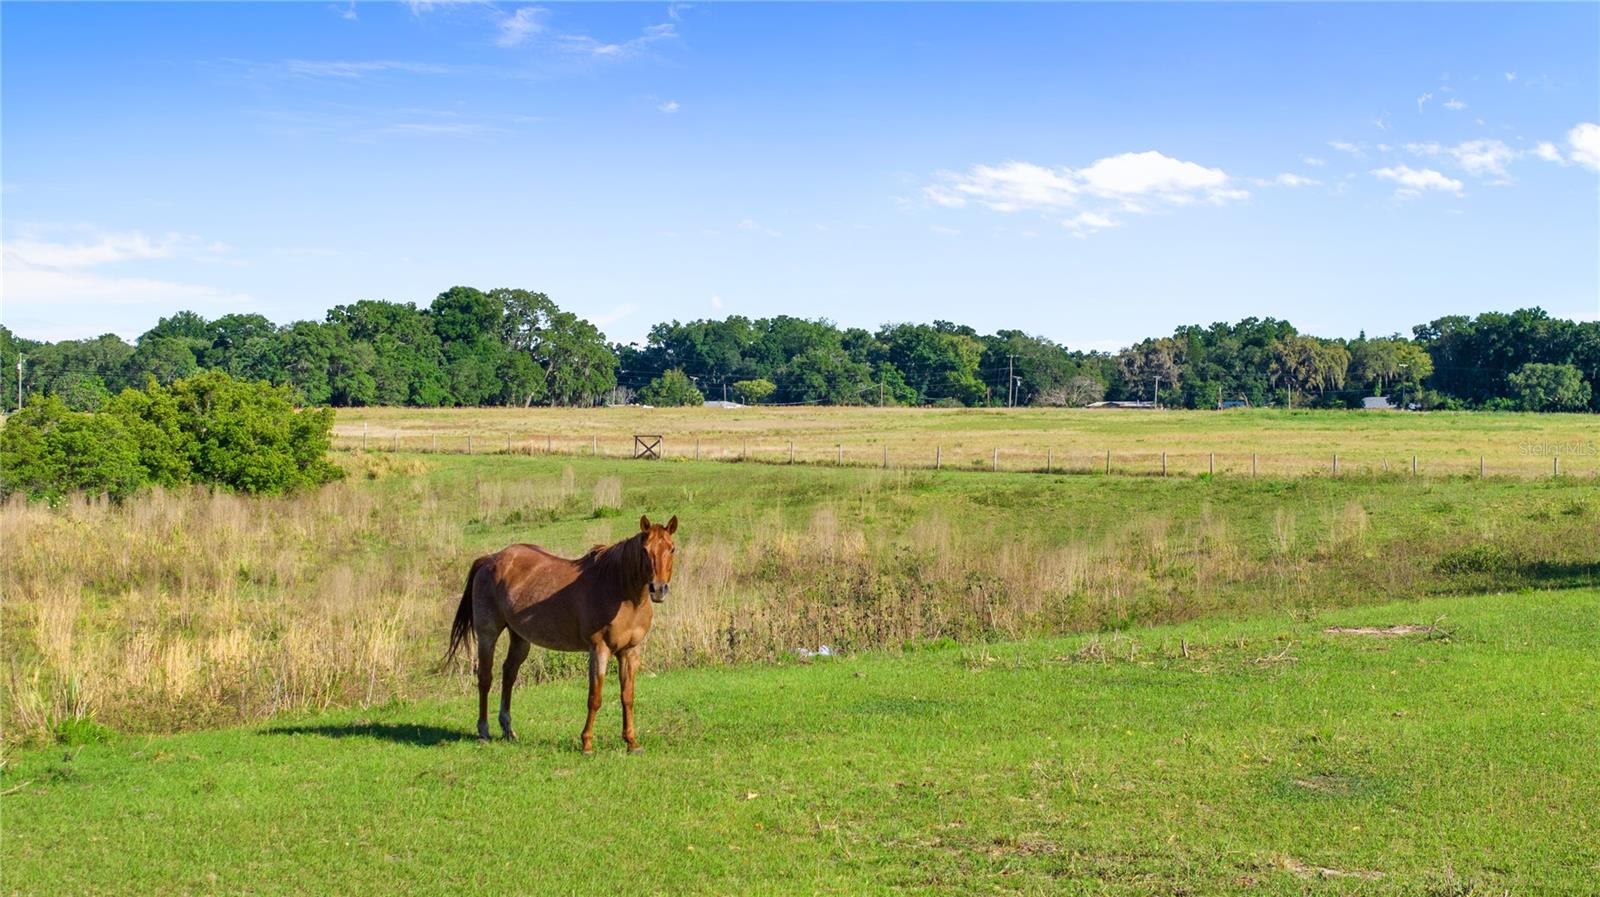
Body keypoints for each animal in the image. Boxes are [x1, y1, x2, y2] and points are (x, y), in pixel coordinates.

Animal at [448, 514, 678, 751]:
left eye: (672, 549)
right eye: (644, 550)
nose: (658, 589)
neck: (621, 591)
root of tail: (489, 559)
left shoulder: (630, 652)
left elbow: (627, 696)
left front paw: (632, 742)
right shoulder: (599, 649)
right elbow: (595, 697)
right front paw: (587, 743)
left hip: (520, 637)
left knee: (509, 674)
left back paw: (508, 729)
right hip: (488, 633)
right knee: (485, 678)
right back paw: (483, 731)